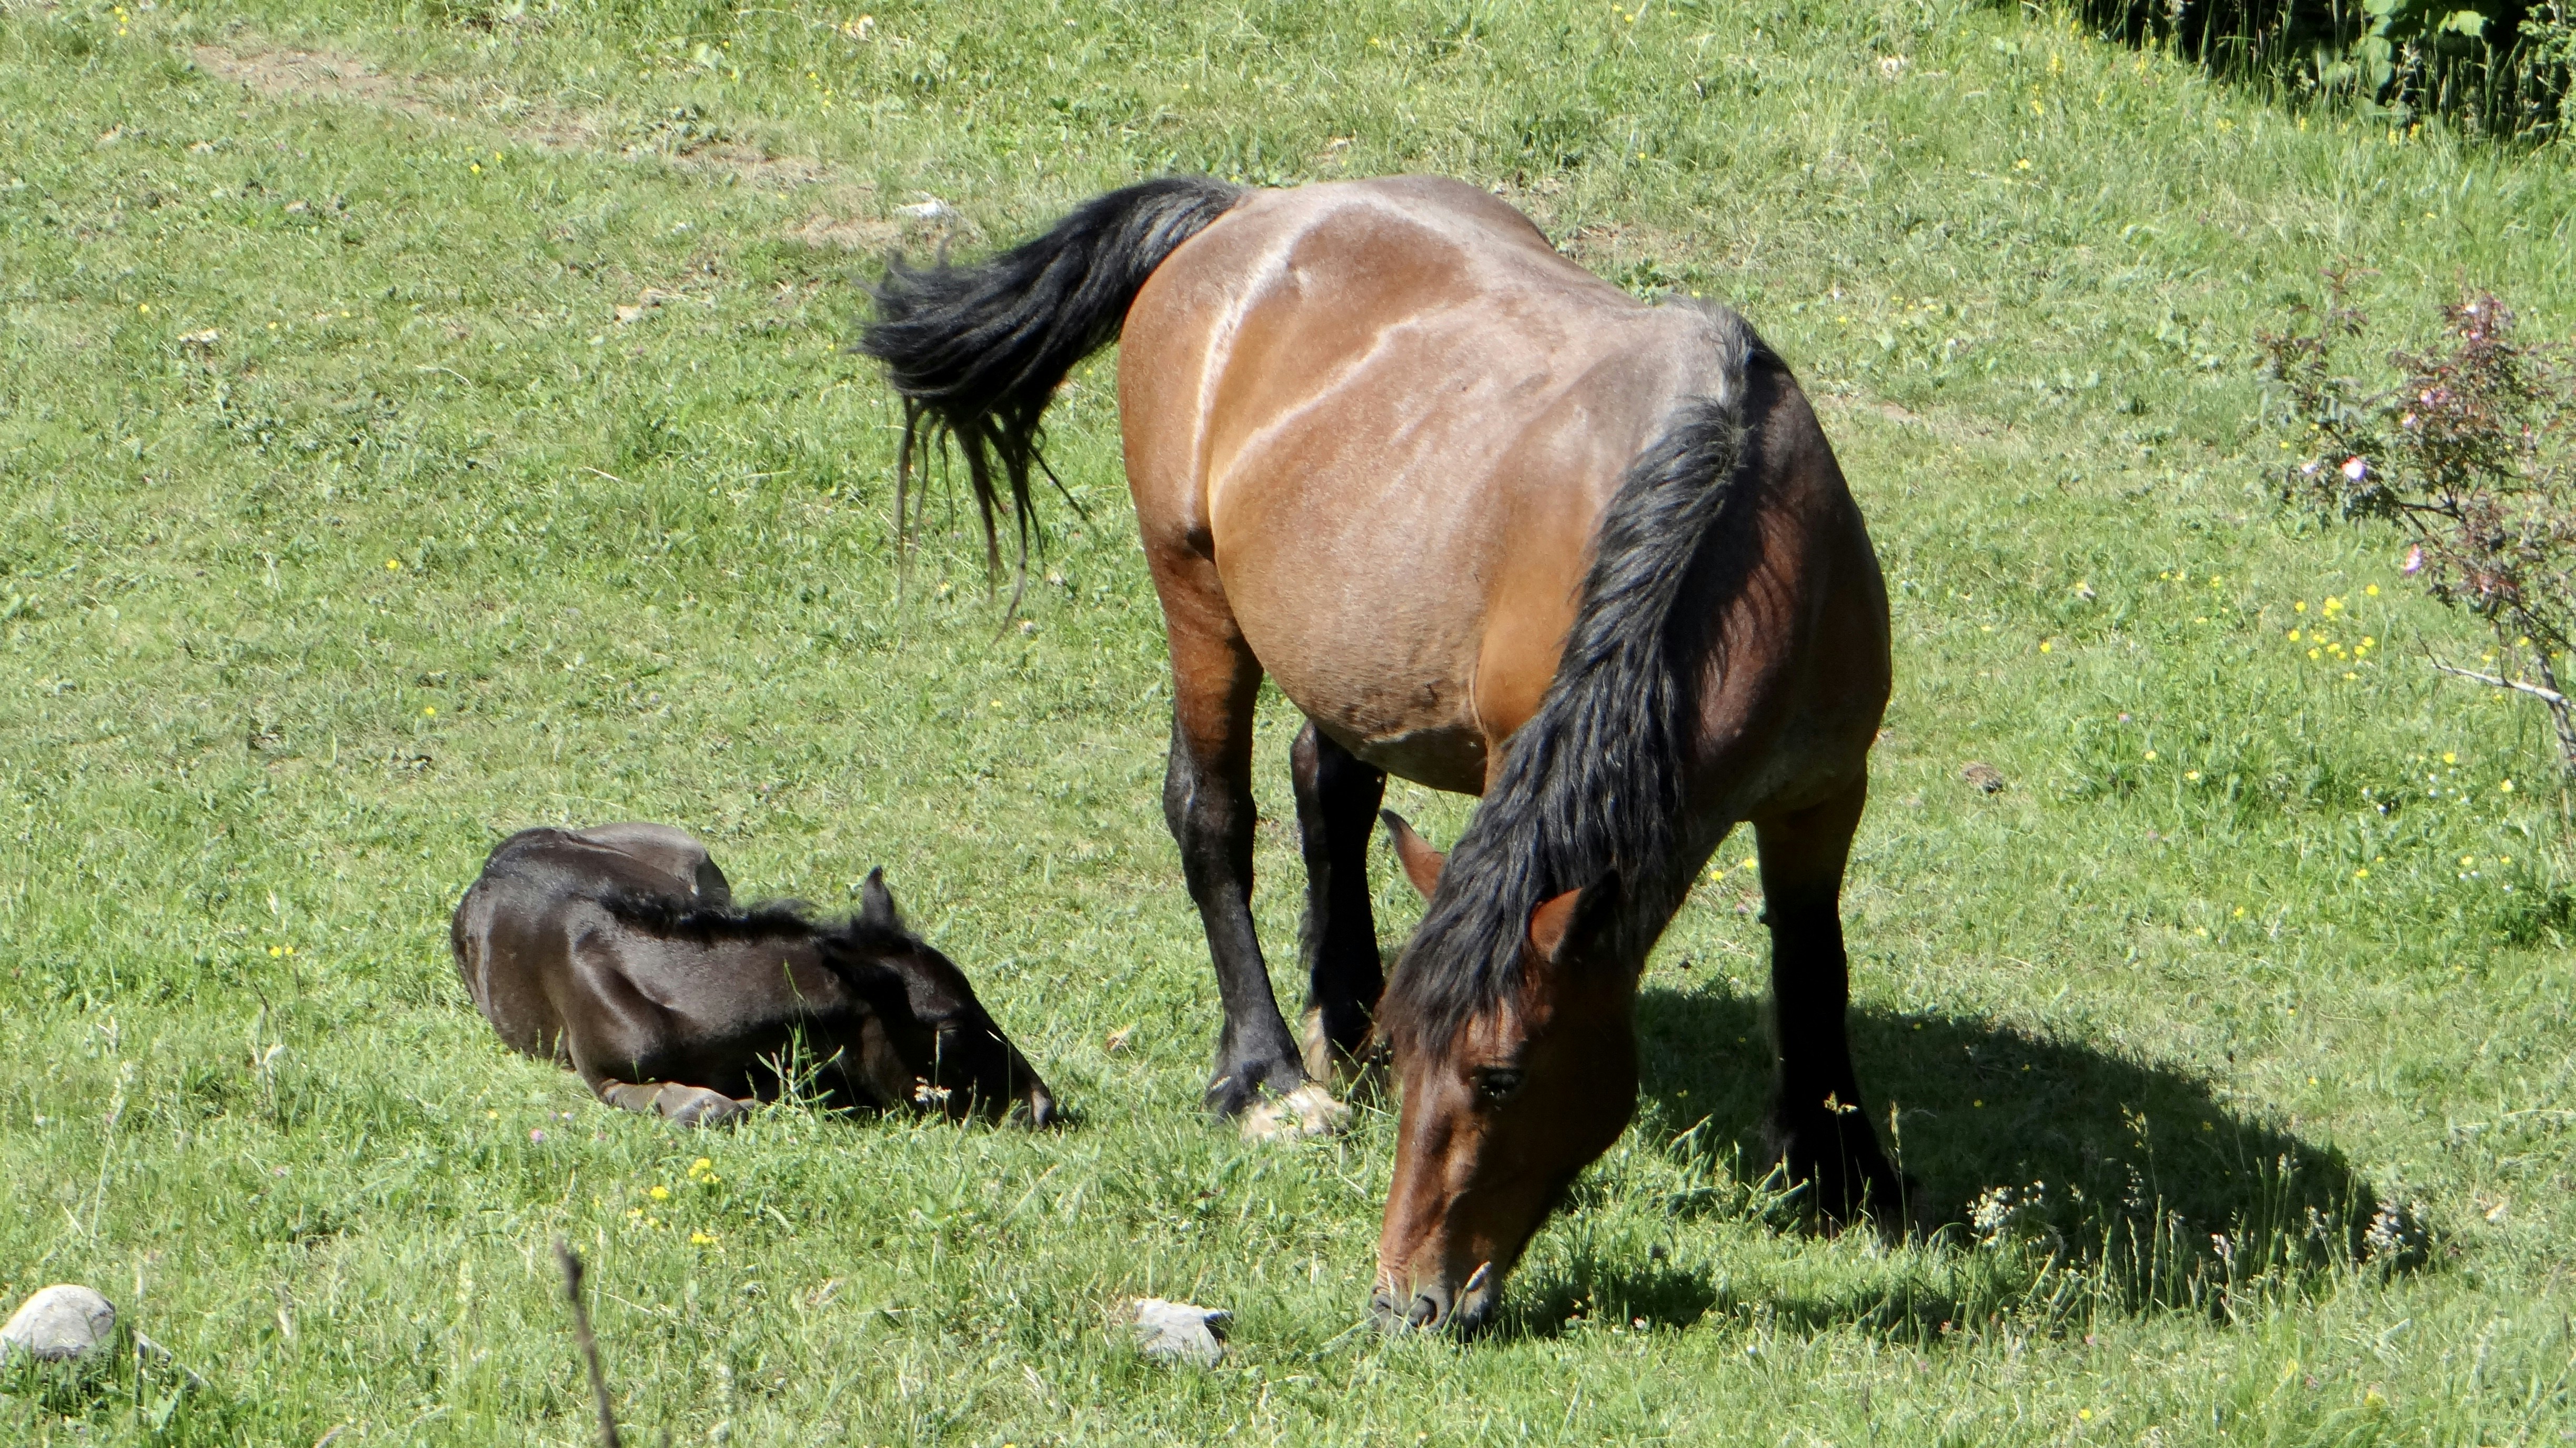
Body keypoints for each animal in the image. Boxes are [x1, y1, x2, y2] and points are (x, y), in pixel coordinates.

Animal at [862, 174, 1895, 1331]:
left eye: (1501, 1076)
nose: (1407, 1300)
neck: (1740, 521)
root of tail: (1247, 212)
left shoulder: (1824, 792)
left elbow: (1813, 959)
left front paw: (1840, 1169)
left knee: (1331, 788)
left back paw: (1340, 1007)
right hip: (1197, 595)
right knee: (1211, 814)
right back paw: (1263, 1071)